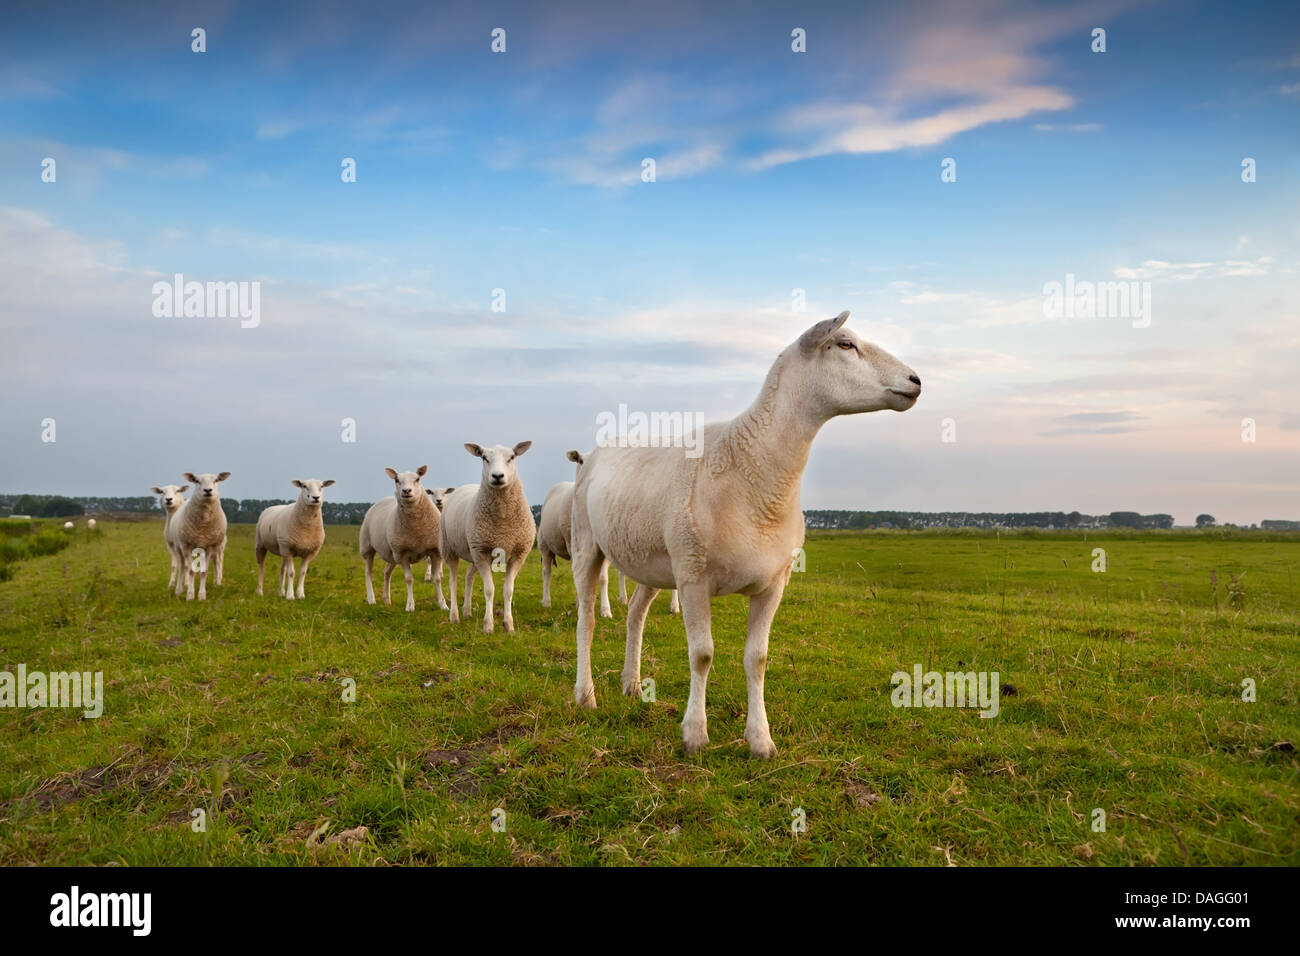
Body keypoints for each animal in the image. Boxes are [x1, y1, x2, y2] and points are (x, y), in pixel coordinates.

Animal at [361, 465, 447, 613]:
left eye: (417, 479)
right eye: (396, 480)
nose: (406, 491)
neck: (417, 531)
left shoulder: (435, 551)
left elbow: (437, 579)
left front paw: (443, 604)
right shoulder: (403, 554)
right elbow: (409, 579)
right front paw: (410, 605)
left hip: (392, 554)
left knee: (387, 572)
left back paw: (386, 599)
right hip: (368, 548)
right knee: (368, 573)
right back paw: (371, 598)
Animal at [441, 442, 533, 634]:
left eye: (512, 457)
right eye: (484, 457)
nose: (497, 476)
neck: (503, 521)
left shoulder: (518, 555)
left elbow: (509, 590)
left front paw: (509, 625)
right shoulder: (482, 553)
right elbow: (489, 589)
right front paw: (488, 625)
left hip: (473, 551)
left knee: (468, 576)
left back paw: (467, 611)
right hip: (450, 548)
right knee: (453, 581)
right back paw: (454, 616)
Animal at [540, 455, 616, 621]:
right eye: (580, 461)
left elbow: (603, 579)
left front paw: (605, 610)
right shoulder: (572, 543)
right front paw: (582, 605)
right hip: (545, 545)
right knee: (546, 572)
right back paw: (546, 601)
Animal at [572, 312, 925, 754]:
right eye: (845, 344)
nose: (915, 380)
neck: (754, 469)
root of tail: (598, 450)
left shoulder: (773, 583)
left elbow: (757, 659)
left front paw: (760, 740)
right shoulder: (693, 577)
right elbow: (702, 655)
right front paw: (695, 735)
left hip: (653, 561)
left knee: (635, 614)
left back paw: (631, 685)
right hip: (588, 545)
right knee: (586, 621)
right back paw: (585, 696)